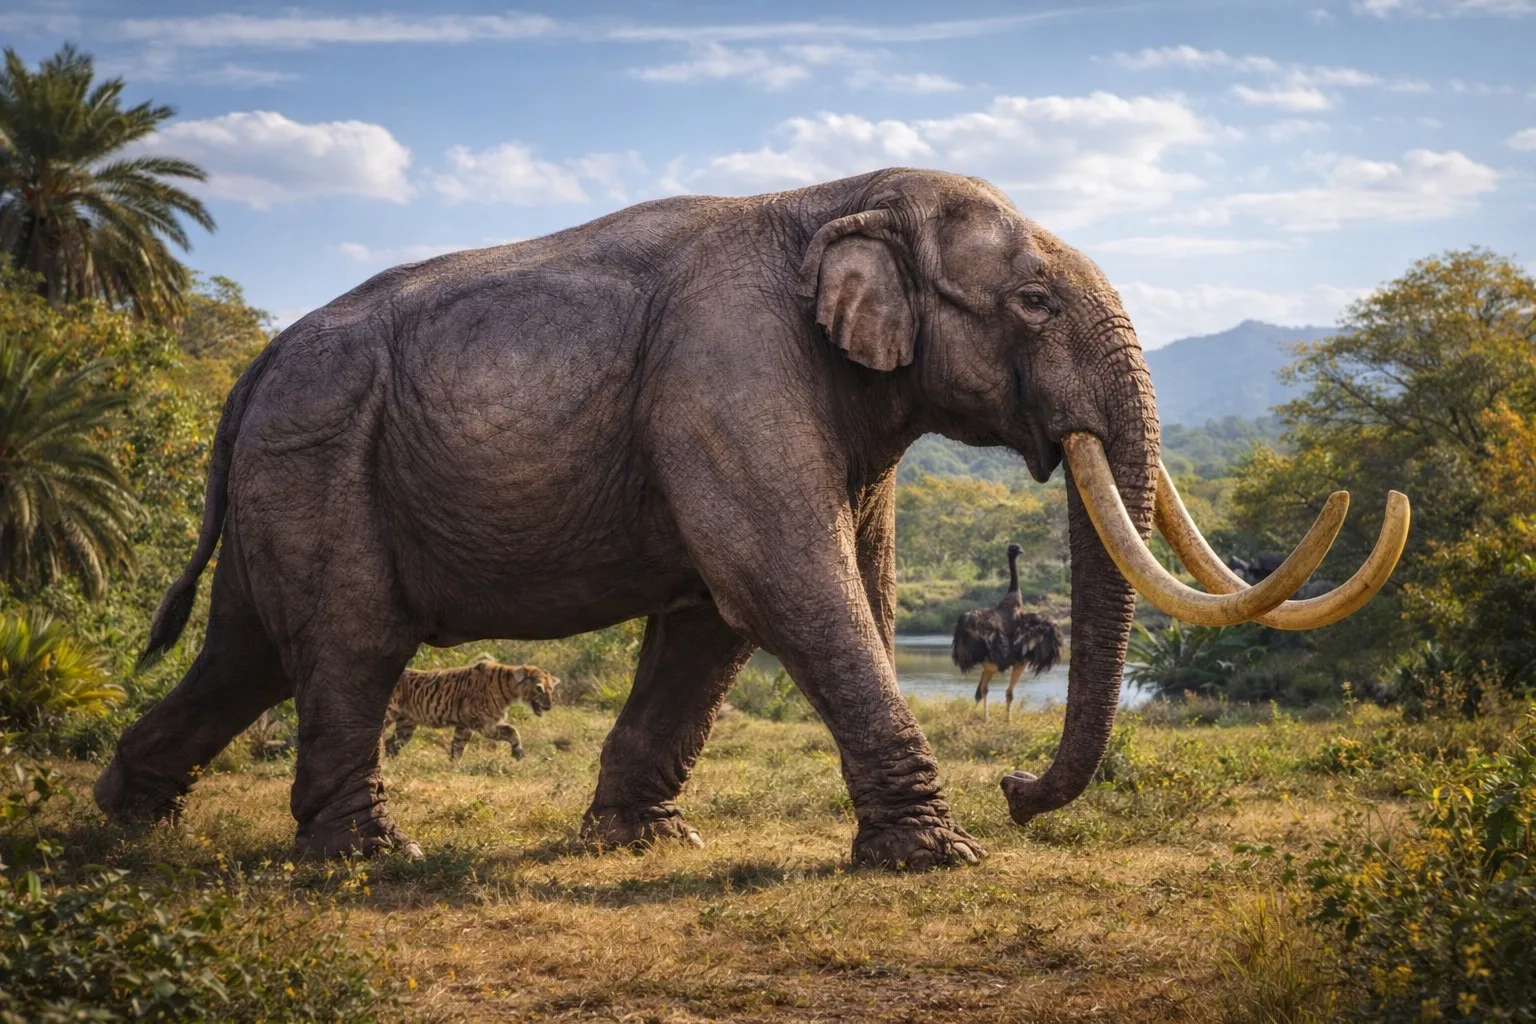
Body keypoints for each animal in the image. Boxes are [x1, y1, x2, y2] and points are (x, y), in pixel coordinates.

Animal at [94, 168, 1408, 868]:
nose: (1017, 788)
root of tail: (247, 378)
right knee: (352, 643)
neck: (839, 195)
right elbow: (785, 584)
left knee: (250, 651)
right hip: (322, 458)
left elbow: (721, 615)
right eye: (1033, 300)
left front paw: (640, 845)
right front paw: (940, 858)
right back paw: (372, 861)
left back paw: (119, 830)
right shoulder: (726, 377)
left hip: (292, 476)